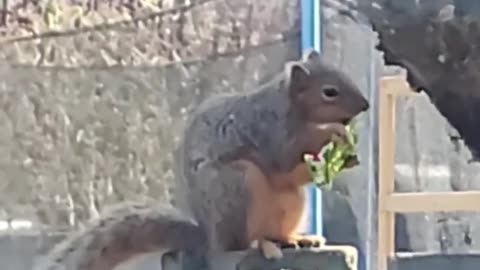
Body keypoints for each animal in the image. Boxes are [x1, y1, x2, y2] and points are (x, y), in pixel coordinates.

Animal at [35, 49, 370, 270]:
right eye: (329, 92)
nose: (365, 105)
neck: (293, 107)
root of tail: (207, 236)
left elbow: (297, 172)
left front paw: (347, 156)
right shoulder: (268, 129)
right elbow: (284, 156)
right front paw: (334, 133)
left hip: (291, 201)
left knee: (274, 230)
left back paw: (295, 239)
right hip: (236, 184)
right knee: (237, 244)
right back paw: (262, 245)